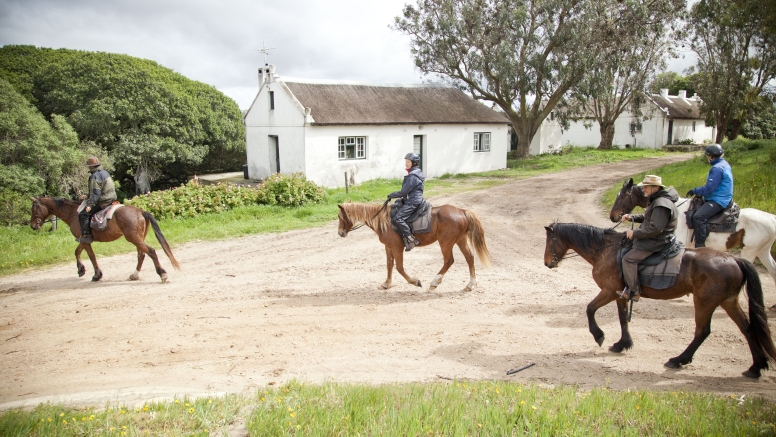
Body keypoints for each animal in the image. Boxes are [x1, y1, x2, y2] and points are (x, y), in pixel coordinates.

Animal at [29, 196, 180, 282]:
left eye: (34, 209)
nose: (32, 225)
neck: (73, 214)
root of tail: (140, 211)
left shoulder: (84, 239)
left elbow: (90, 256)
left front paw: (94, 274)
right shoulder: (83, 239)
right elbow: (78, 252)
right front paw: (82, 270)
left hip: (134, 238)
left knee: (151, 252)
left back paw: (162, 274)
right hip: (138, 238)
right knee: (142, 254)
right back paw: (135, 275)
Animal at [334, 203, 492, 292]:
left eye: (340, 217)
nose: (340, 233)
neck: (385, 221)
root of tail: (462, 211)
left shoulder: (397, 248)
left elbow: (399, 267)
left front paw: (415, 282)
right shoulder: (388, 247)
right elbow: (389, 265)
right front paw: (387, 284)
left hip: (446, 243)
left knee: (449, 260)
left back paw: (434, 283)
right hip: (460, 240)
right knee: (469, 258)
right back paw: (470, 285)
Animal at [544, 223, 776, 376]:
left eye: (549, 240)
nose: (547, 263)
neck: (607, 251)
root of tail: (734, 260)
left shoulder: (609, 291)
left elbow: (590, 309)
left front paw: (599, 335)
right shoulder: (621, 294)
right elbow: (622, 319)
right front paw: (622, 344)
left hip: (704, 302)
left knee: (702, 331)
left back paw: (678, 360)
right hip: (729, 302)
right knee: (747, 329)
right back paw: (756, 367)